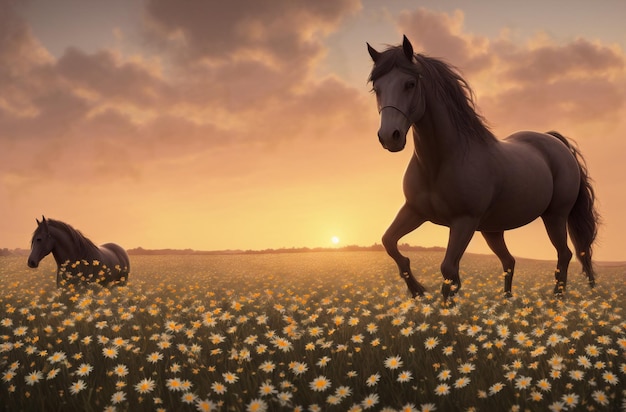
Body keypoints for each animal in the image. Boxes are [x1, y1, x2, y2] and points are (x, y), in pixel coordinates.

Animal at [368, 36, 596, 300]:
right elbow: (389, 242)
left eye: (410, 83)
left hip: (555, 216)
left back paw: (557, 299)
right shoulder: (414, 211)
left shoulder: (464, 221)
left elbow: (448, 268)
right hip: (492, 229)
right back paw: (508, 301)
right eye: (377, 88)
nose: (389, 137)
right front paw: (418, 291)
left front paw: (445, 302)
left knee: (566, 254)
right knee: (510, 261)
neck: (440, 163)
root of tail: (555, 142)